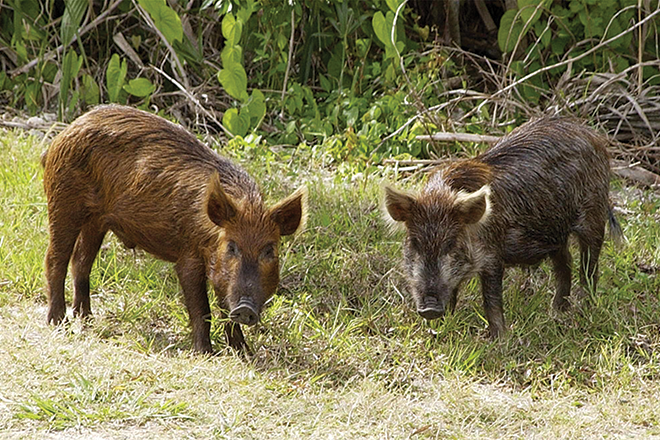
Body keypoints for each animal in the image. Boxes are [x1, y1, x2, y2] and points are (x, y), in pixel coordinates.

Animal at [42, 105, 306, 353]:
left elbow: (224, 309)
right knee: (55, 258)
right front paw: (205, 353)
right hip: (63, 201)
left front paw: (245, 353)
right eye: (232, 247)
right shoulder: (188, 256)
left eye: (269, 251)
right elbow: (201, 308)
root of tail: (64, 133)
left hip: (96, 221)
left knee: (81, 261)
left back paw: (86, 318)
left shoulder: (220, 273)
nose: (245, 308)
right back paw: (58, 322)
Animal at [383, 116, 622, 338]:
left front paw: (498, 339)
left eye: (451, 244)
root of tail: (593, 136)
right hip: (555, 233)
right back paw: (557, 311)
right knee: (565, 263)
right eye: (415, 243)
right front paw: (438, 329)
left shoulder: (492, 256)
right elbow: (452, 294)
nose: (429, 309)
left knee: (589, 267)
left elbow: (491, 299)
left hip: (593, 216)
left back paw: (584, 309)